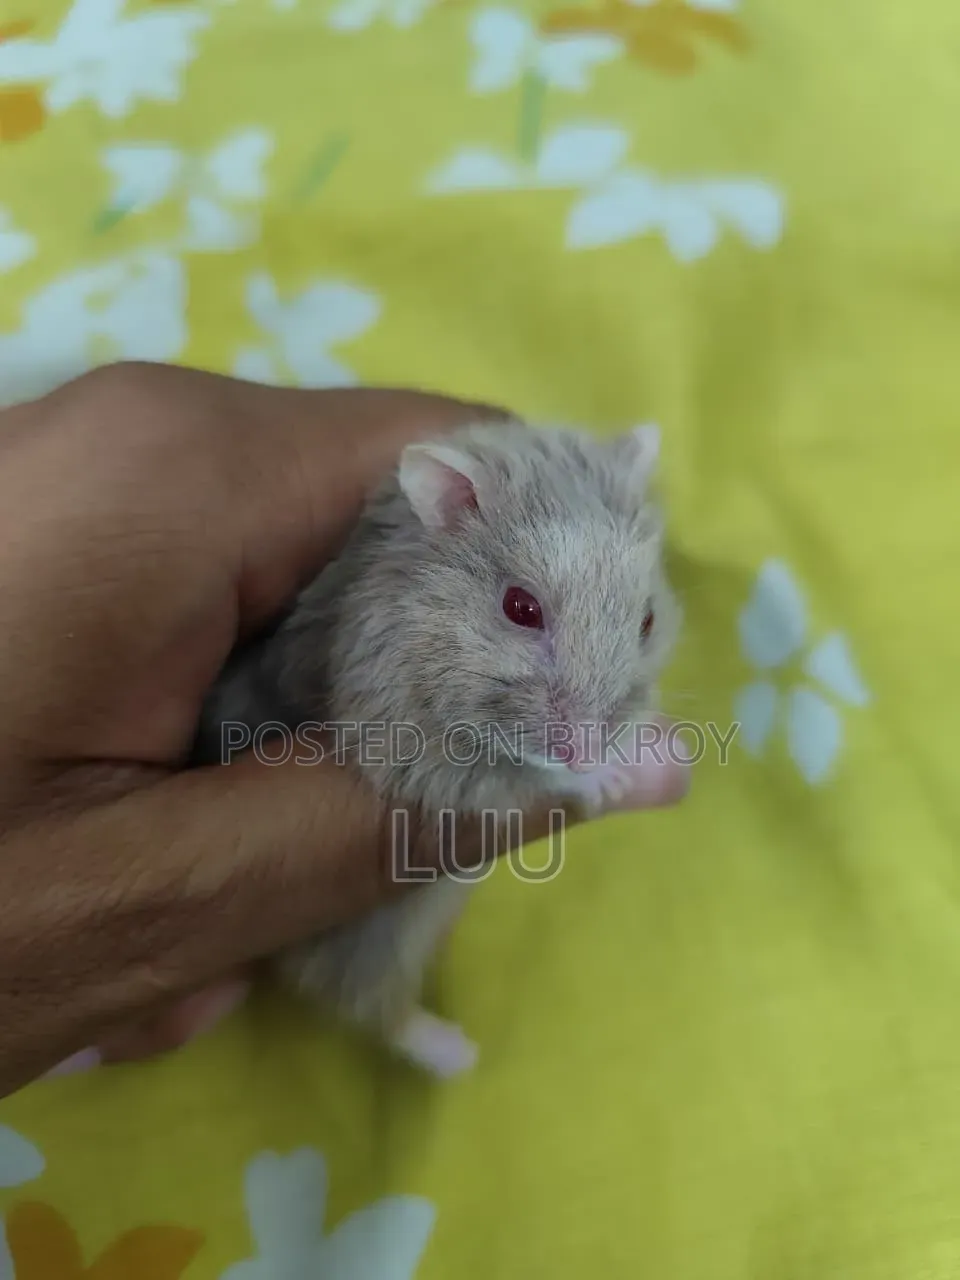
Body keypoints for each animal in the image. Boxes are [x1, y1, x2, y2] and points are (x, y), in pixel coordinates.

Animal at [192, 417, 682, 1077]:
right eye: (520, 607)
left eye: (648, 621)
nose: (584, 750)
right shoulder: (419, 753)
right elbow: (524, 775)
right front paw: (610, 781)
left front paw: (629, 755)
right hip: (371, 937)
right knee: (363, 1002)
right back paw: (458, 1054)